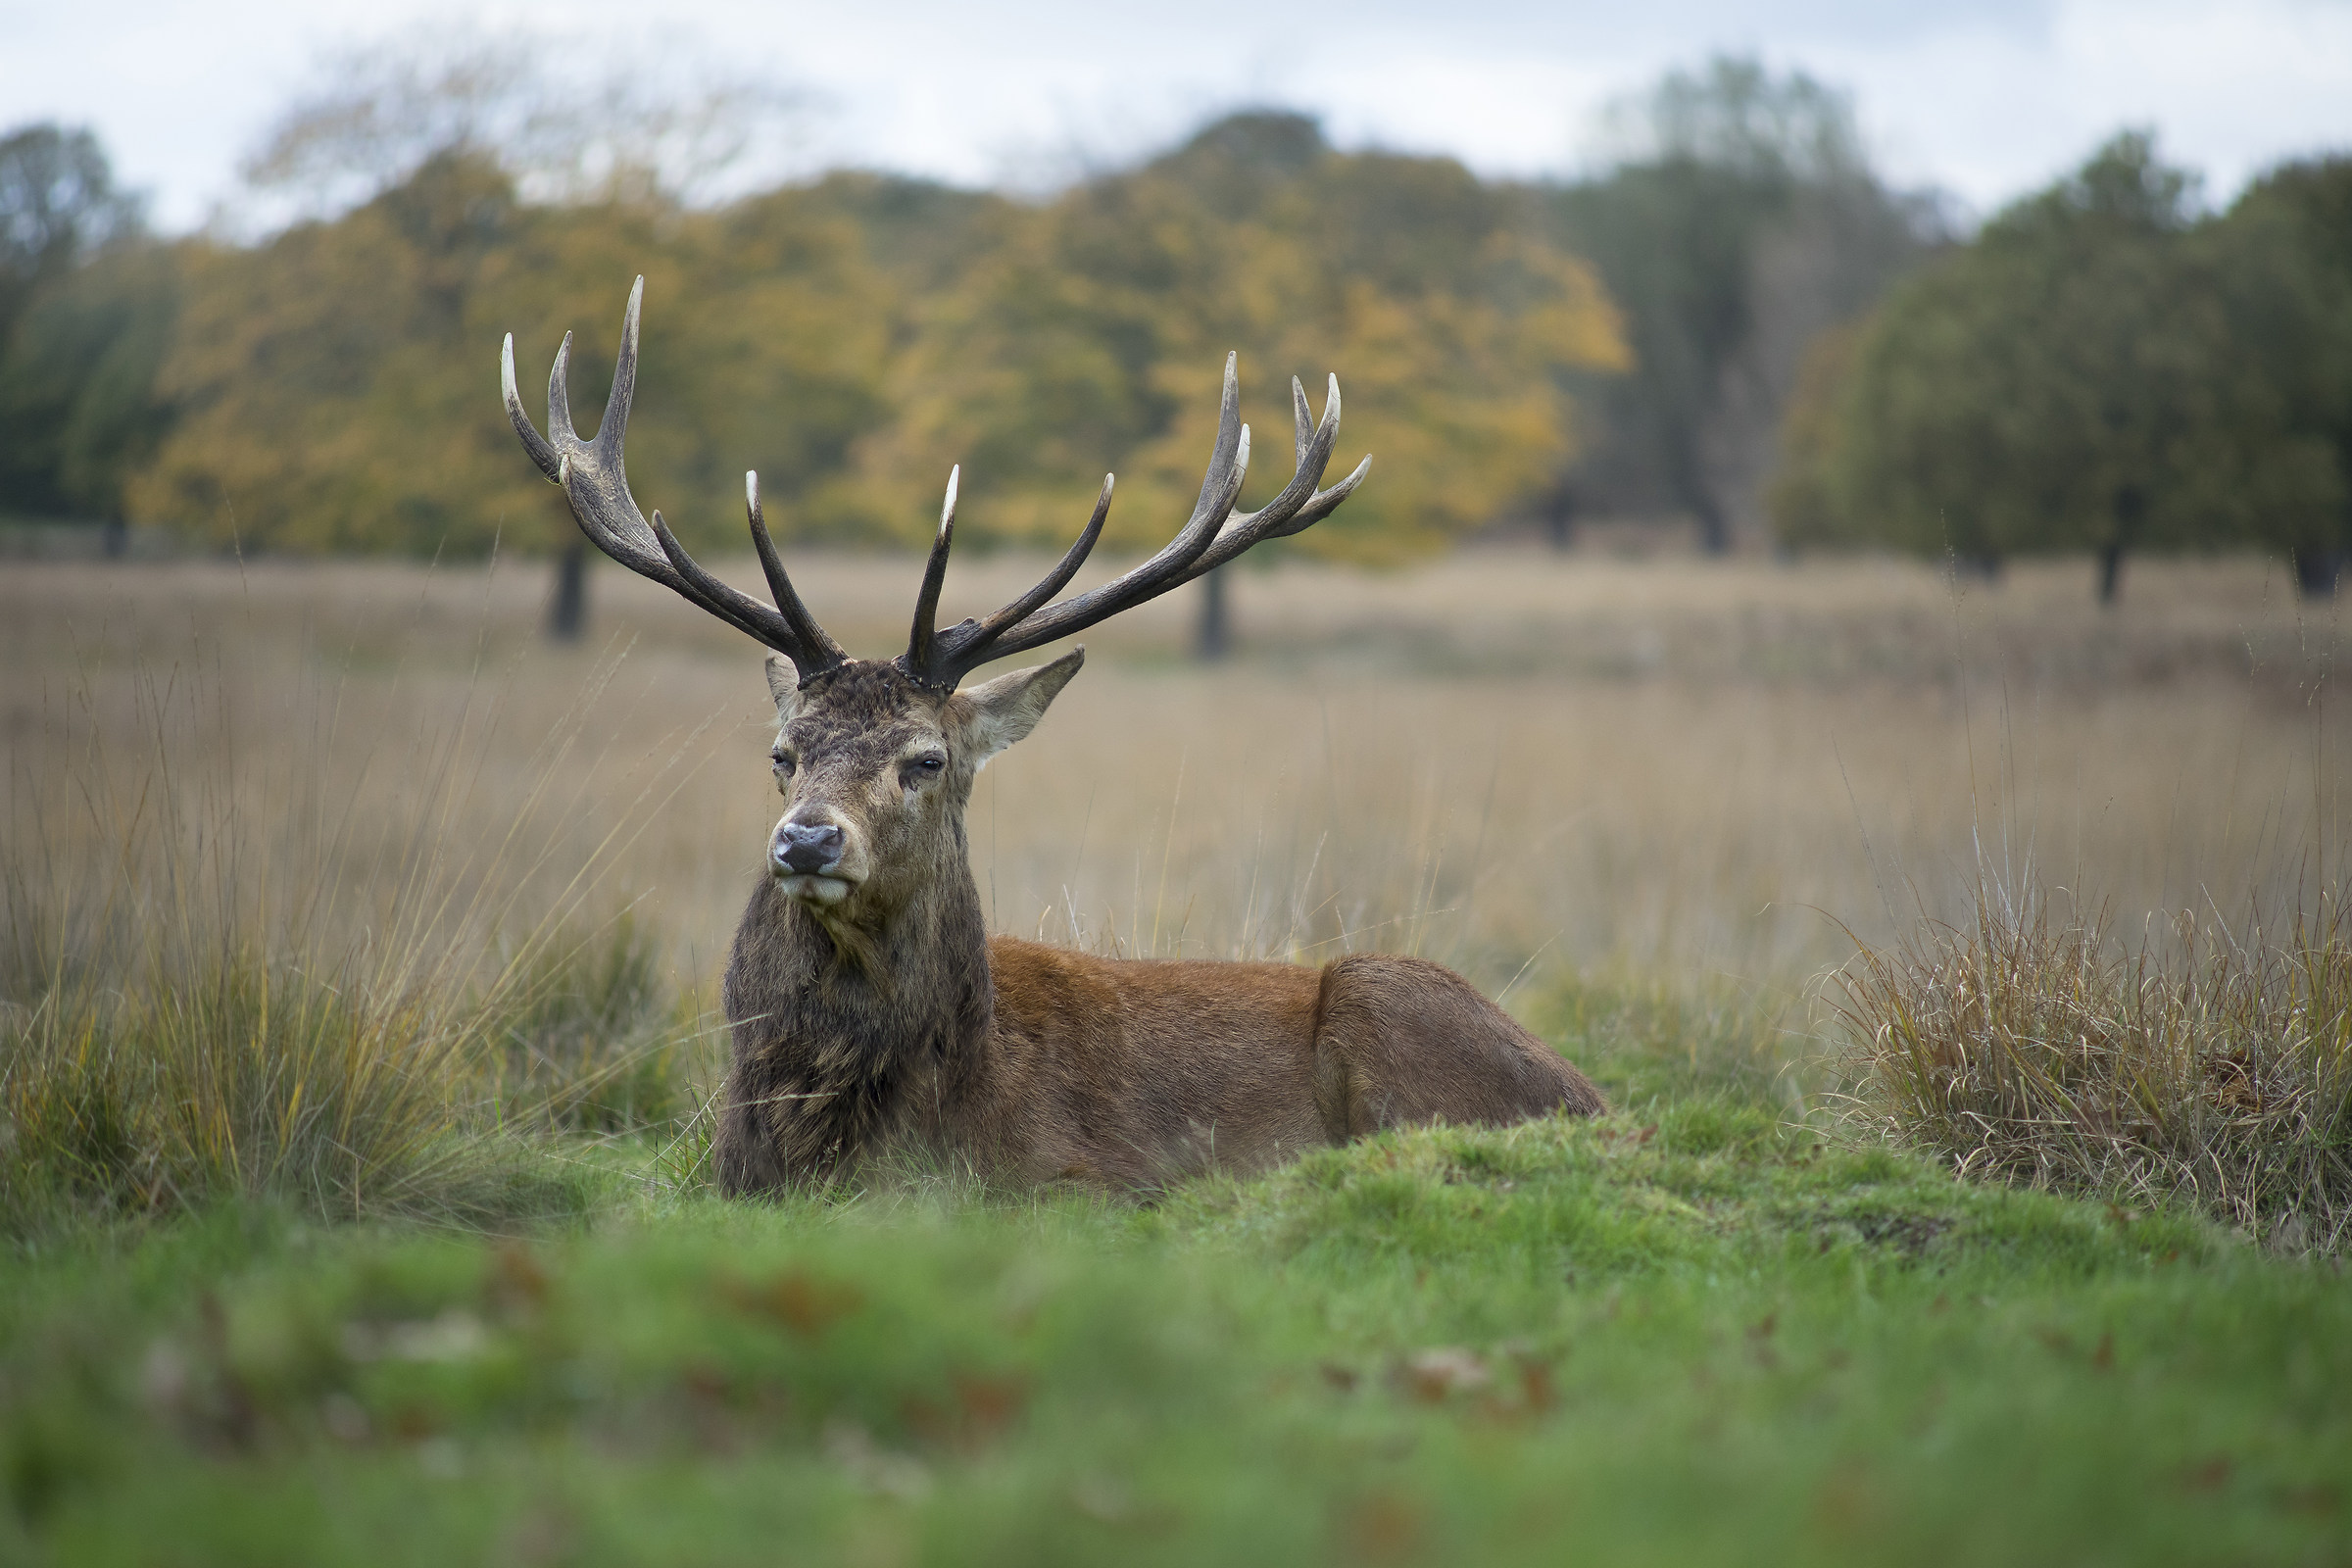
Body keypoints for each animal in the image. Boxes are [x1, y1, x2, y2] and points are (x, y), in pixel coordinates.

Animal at [502, 279, 1604, 1195]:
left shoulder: (1087, 1179)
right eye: (783, 752)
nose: (807, 839)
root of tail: (1593, 1097)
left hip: (1393, 1000)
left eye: (928, 760)